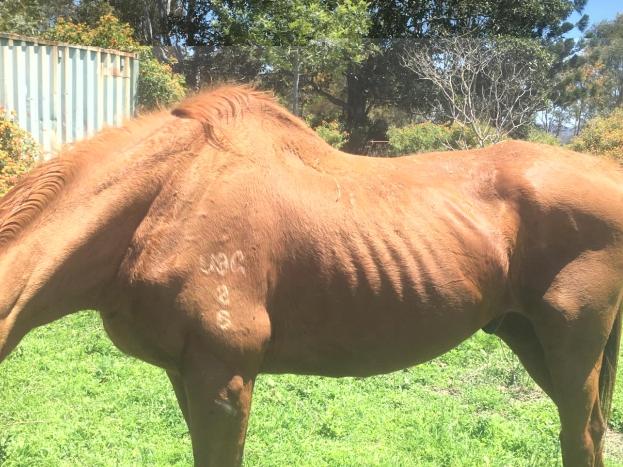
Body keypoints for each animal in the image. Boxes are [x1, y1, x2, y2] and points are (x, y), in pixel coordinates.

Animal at [1, 86, 623, 466]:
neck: (168, 198)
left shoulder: (224, 376)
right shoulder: (186, 371)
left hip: (572, 342)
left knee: (579, 435)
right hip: (528, 336)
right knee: (590, 431)